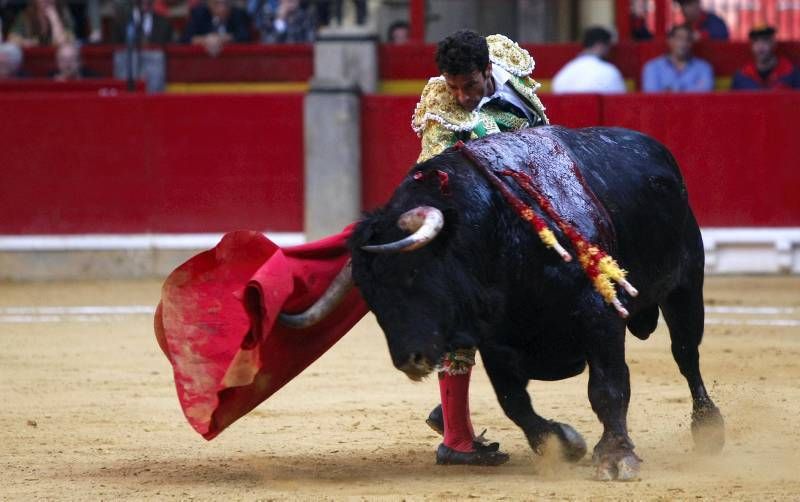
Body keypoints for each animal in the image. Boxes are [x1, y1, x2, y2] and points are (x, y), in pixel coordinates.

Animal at [348, 125, 724, 478]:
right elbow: (513, 400)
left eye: (412, 272)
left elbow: (608, 386)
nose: (410, 360)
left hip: (686, 285)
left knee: (686, 355)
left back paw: (708, 429)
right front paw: (562, 443)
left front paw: (616, 456)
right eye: (370, 295)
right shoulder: (494, 339)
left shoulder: (599, 314)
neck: (496, 228)